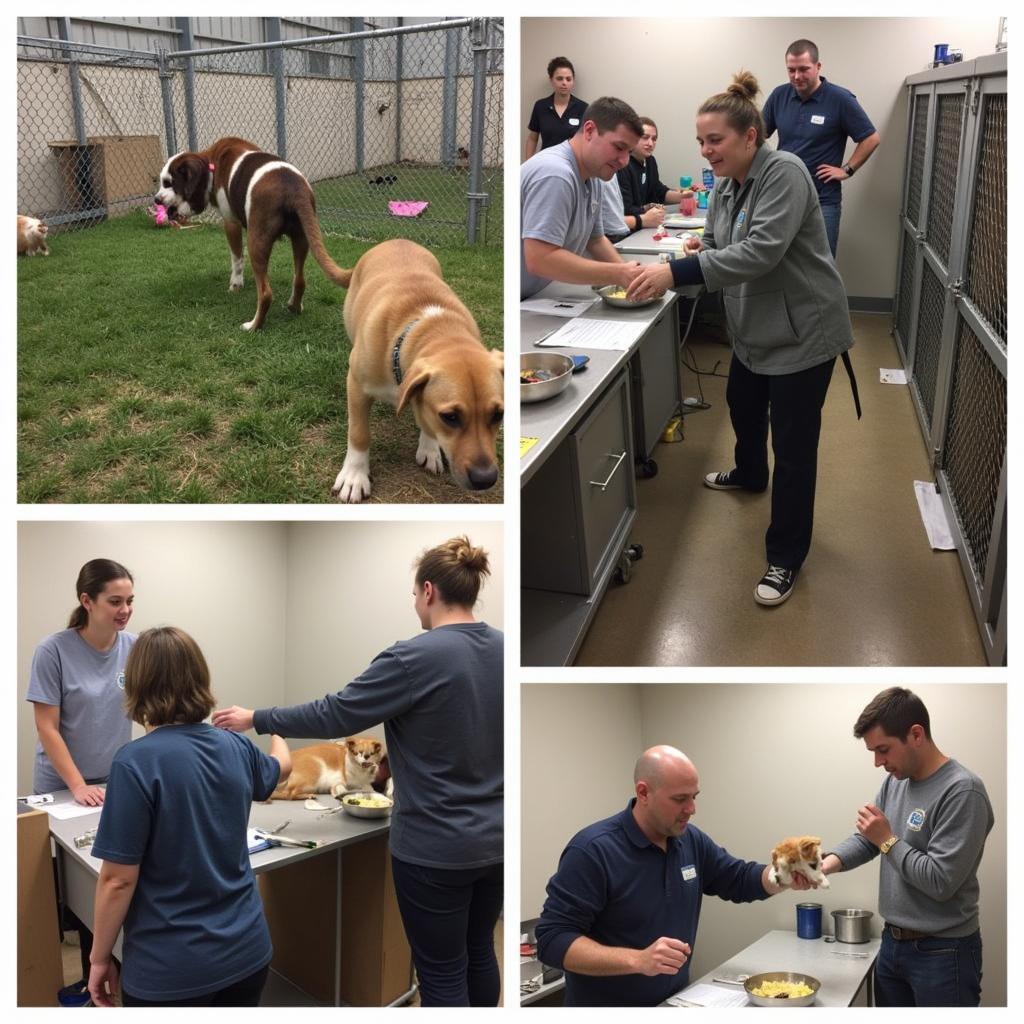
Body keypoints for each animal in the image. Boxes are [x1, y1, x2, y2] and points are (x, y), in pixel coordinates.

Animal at [151, 137, 350, 331]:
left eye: (168, 183)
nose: (156, 199)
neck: (212, 162)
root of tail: (294, 189)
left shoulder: (231, 224)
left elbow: (237, 259)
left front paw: (235, 284)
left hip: (256, 242)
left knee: (266, 293)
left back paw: (253, 326)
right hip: (302, 238)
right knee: (300, 280)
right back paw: (294, 307)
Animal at [329, 235, 501, 499]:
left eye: (498, 414)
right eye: (450, 417)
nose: (486, 479)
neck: (436, 328)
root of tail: (396, 239)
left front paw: (429, 448)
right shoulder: (357, 385)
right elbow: (358, 432)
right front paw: (354, 476)